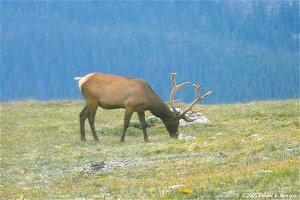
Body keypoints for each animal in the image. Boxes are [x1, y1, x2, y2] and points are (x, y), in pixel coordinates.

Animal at [74, 72, 211, 143]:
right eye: (176, 122)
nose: (175, 135)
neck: (147, 98)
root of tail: (81, 80)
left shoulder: (140, 109)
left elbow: (143, 124)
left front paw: (147, 140)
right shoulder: (129, 105)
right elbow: (126, 123)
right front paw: (121, 140)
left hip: (89, 101)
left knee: (81, 115)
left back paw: (83, 138)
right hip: (93, 100)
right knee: (90, 118)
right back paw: (96, 139)